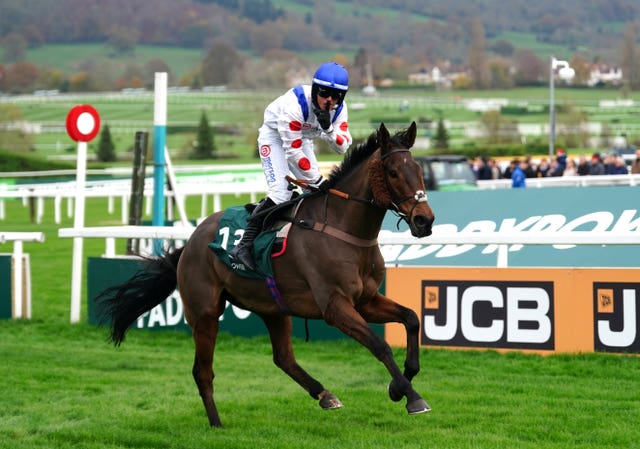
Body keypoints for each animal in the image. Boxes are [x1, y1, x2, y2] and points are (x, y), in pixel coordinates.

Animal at [97, 121, 438, 426]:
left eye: (419, 171)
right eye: (393, 172)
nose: (425, 221)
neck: (343, 229)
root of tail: (191, 241)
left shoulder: (365, 300)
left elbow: (411, 318)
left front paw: (399, 385)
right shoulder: (335, 306)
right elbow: (380, 345)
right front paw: (412, 397)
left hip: (273, 307)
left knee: (283, 357)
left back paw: (325, 395)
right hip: (205, 312)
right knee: (202, 371)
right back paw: (216, 424)